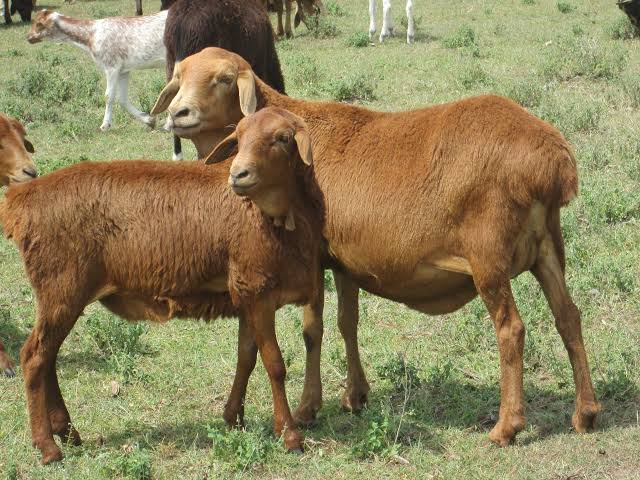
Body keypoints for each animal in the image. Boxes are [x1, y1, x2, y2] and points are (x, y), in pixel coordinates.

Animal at [0, 108, 323, 464]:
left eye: (283, 138)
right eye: (238, 138)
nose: (239, 175)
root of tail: (21, 200)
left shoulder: (246, 293)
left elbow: (246, 357)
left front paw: (233, 417)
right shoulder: (257, 289)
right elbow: (274, 364)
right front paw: (289, 434)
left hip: (61, 294)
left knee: (48, 357)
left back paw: (67, 431)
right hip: (61, 289)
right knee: (34, 357)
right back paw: (47, 445)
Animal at [27, 9, 167, 132]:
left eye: (39, 24)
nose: (28, 37)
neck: (90, 35)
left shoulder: (112, 66)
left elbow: (109, 96)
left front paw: (104, 126)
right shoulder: (123, 70)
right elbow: (122, 99)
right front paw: (149, 120)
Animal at [152, 47, 601, 447]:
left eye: (225, 78)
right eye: (180, 75)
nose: (179, 114)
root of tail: (553, 162)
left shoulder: (314, 255)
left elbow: (312, 330)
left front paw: (308, 408)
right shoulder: (345, 260)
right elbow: (347, 322)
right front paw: (355, 395)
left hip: (487, 255)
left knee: (511, 329)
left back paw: (507, 427)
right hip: (548, 246)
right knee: (568, 317)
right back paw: (585, 413)